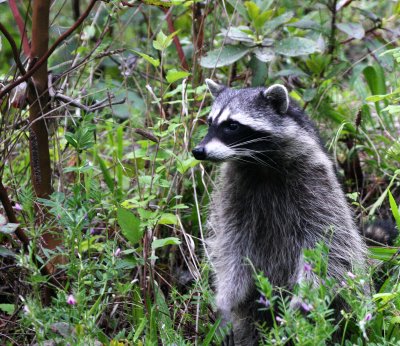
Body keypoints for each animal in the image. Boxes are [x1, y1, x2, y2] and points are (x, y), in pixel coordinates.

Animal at [192, 80, 368, 344]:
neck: (259, 163)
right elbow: (231, 247)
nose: (198, 151)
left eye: (232, 125)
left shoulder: (317, 184)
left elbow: (328, 246)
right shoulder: (233, 192)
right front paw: (226, 298)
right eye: (210, 121)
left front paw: (303, 300)